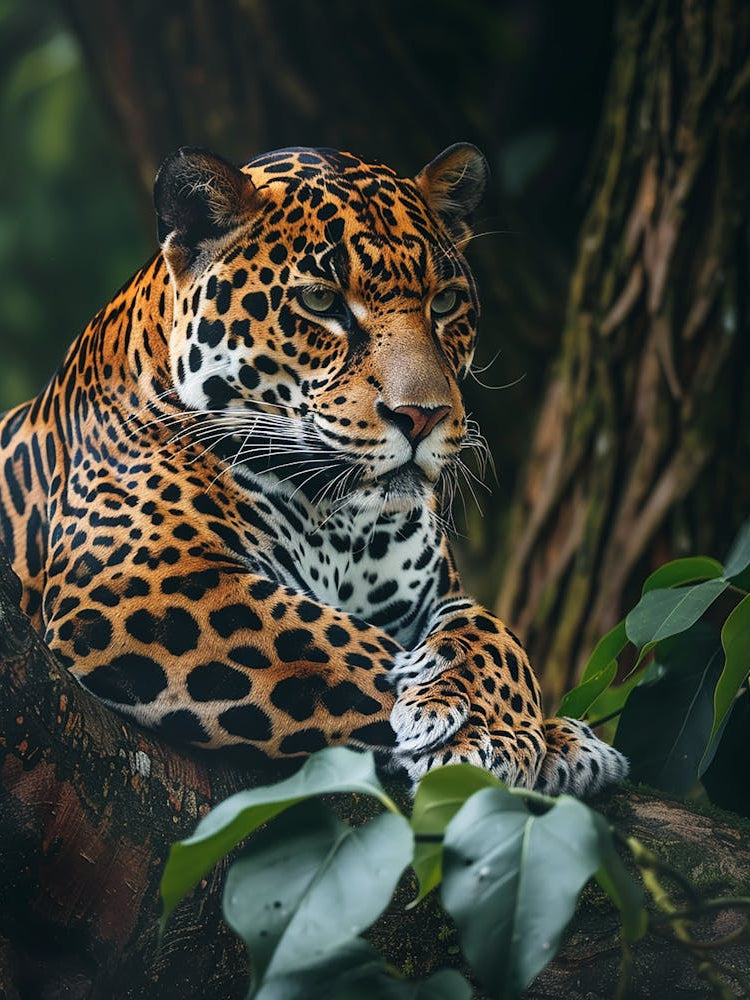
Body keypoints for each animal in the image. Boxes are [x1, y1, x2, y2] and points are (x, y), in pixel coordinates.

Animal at [0, 143, 627, 795]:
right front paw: (494, 735)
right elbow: (337, 645)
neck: (342, 521)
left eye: (446, 303)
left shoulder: (437, 594)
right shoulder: (138, 579)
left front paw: (540, 731)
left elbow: (489, 627)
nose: (422, 416)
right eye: (321, 302)